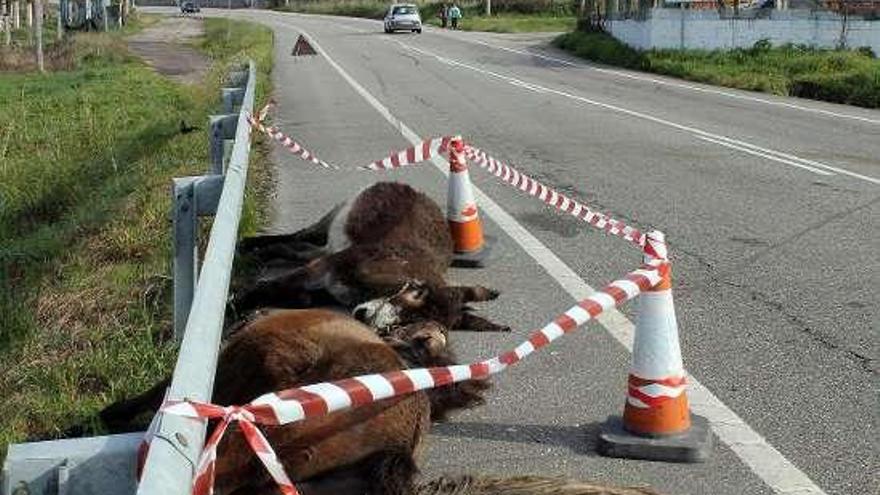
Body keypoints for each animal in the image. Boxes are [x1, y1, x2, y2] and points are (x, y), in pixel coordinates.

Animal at [230, 180, 508, 336]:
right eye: (416, 293)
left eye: (414, 322)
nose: (364, 318)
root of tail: (414, 190)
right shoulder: (328, 266)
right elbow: (268, 286)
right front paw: (235, 304)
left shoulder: (326, 279)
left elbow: (301, 296)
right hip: (336, 216)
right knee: (301, 235)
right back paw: (250, 247)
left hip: (326, 246)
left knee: (295, 248)